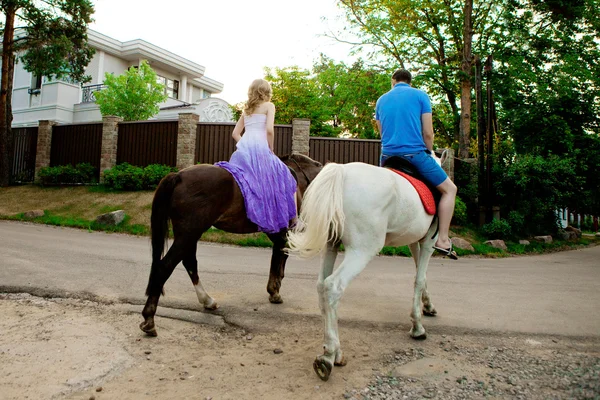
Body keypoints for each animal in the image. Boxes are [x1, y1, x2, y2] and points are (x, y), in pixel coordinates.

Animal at [139, 155, 324, 336]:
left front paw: (273, 290)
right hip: (188, 234)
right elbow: (279, 260)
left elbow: (277, 259)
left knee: (189, 263)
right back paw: (149, 319)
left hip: (188, 235)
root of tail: (179, 176)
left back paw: (207, 300)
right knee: (165, 266)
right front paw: (274, 292)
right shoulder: (283, 233)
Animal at [288, 153, 448, 382]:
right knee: (333, 286)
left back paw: (335, 352)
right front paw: (417, 326)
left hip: (331, 244)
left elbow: (422, 276)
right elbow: (419, 279)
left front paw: (428, 306)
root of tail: (342, 172)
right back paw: (328, 355)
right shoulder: (428, 242)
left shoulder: (414, 242)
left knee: (321, 287)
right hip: (362, 250)